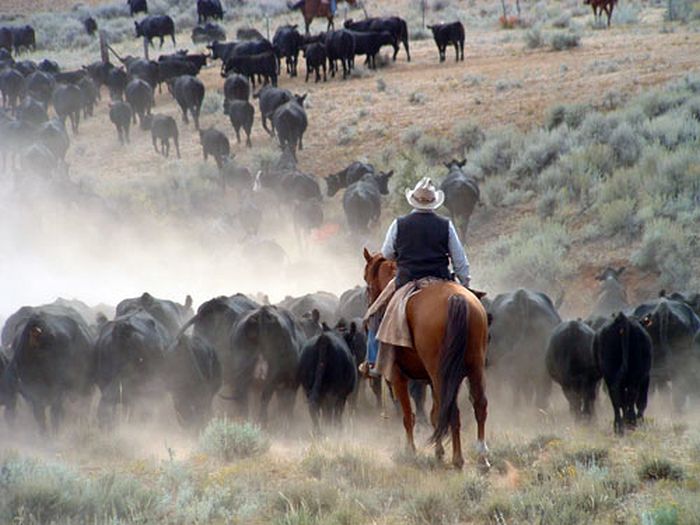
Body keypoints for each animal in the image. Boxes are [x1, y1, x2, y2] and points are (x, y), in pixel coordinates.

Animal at [364, 248, 490, 468]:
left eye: (366, 280)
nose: (371, 305)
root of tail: (456, 299)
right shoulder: (431, 380)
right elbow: (434, 413)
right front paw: (438, 451)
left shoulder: (398, 376)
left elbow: (408, 414)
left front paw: (411, 451)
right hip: (474, 367)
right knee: (479, 404)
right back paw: (482, 456)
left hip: (441, 373)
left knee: (452, 411)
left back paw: (458, 459)